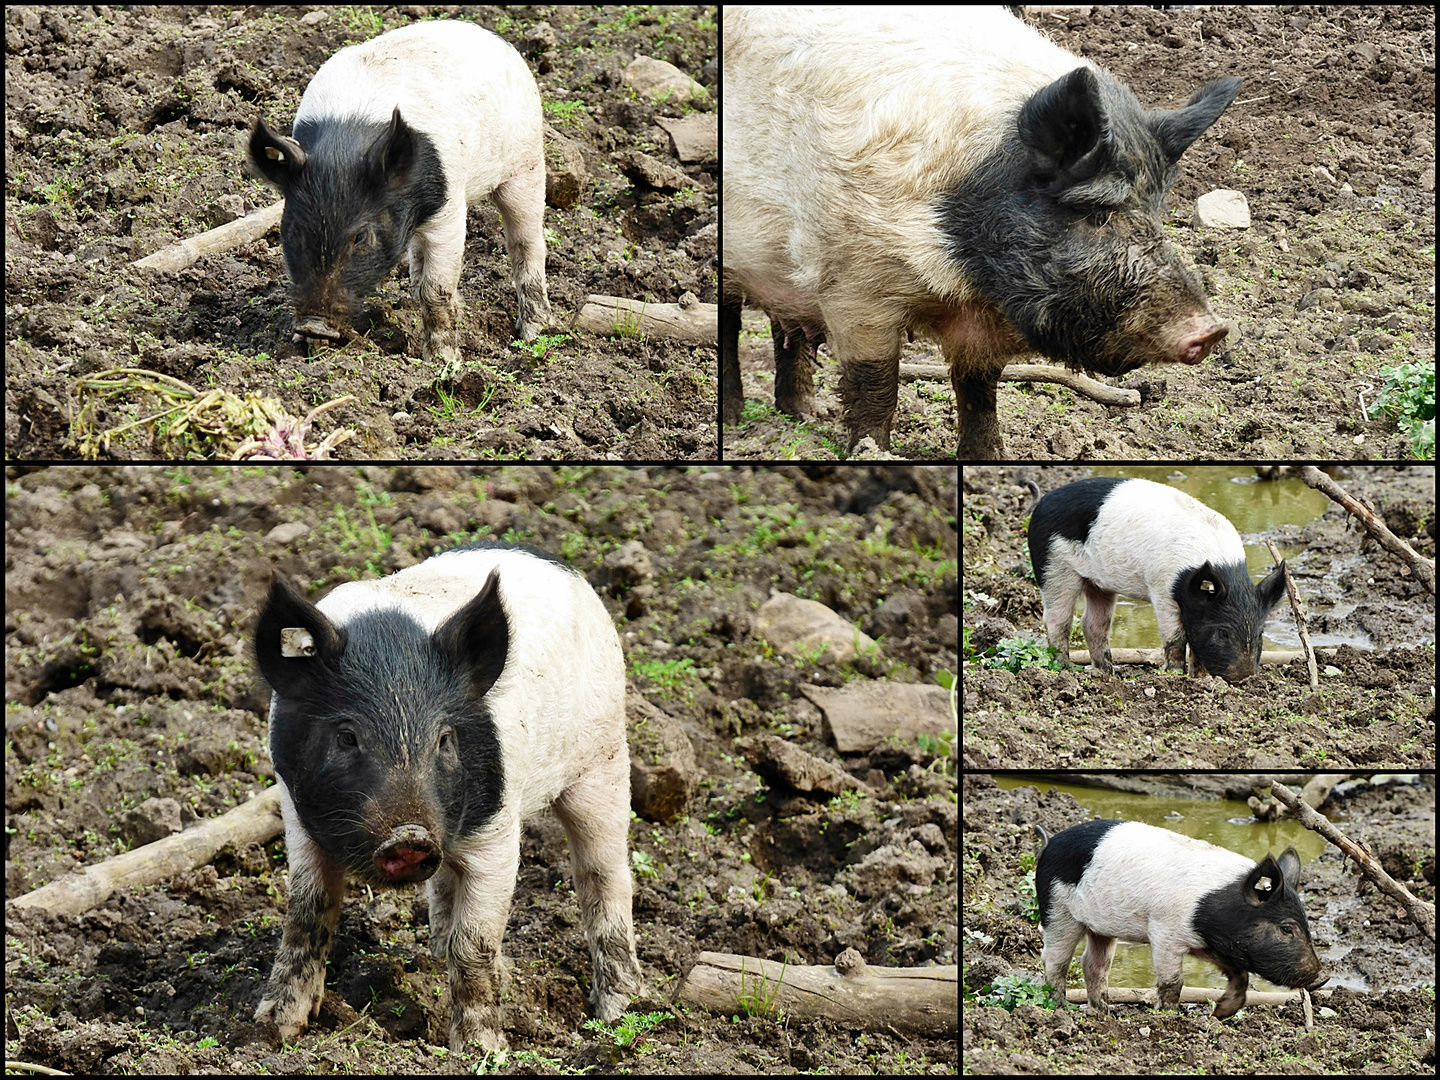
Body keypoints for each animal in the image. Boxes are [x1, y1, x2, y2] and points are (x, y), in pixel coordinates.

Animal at [250, 20, 547, 380]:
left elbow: (436, 289)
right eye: (293, 231)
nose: (313, 325)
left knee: (527, 243)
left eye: (361, 237)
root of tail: (493, 38)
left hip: (526, 164)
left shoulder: (449, 209)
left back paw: (535, 332)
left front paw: (443, 363)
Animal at [253, 544, 642, 1054]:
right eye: (346, 736)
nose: (409, 836)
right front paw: (271, 1030)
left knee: (604, 874)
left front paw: (480, 1049)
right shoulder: (297, 817)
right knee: (443, 888)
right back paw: (441, 959)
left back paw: (621, 1009)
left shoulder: (497, 833)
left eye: (444, 739)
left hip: (604, 754)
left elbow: (474, 942)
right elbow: (306, 912)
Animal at [725, 7, 1244, 457]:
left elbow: (978, 388)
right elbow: (876, 382)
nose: (1213, 329)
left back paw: (804, 415)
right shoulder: (854, 282)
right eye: (1096, 214)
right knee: (731, 324)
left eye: (1157, 209)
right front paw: (872, 452)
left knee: (785, 328)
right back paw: (734, 419)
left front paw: (990, 455)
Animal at [1025, 478, 1284, 679]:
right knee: (1058, 620)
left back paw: (1108, 673)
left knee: (1093, 624)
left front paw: (1201, 679)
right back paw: (1065, 669)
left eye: (1260, 633)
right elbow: (1177, 637)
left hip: (1099, 582)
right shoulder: (1162, 586)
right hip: (1054, 565)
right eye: (1223, 632)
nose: (1244, 678)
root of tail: (1042, 502)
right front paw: (1174, 675)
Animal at [1036, 823, 1324, 1019]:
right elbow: (1173, 981)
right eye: (1287, 928)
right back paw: (1060, 1008)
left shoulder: (1209, 944)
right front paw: (1170, 1015)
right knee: (1055, 959)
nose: (1323, 976)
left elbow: (1240, 976)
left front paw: (1219, 1014)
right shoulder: (1164, 931)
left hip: (1101, 927)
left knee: (1093, 964)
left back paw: (1103, 1012)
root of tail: (1050, 841)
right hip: (1058, 908)